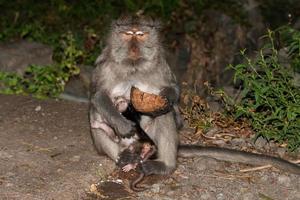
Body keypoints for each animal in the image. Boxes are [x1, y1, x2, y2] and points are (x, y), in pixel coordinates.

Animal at [89, 14, 300, 179]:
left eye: (140, 35)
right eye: (127, 34)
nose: (133, 47)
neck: (134, 65)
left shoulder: (160, 65)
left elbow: (172, 89)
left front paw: (166, 98)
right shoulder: (105, 65)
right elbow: (98, 95)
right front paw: (121, 122)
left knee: (163, 116)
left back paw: (164, 164)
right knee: (96, 120)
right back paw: (125, 157)